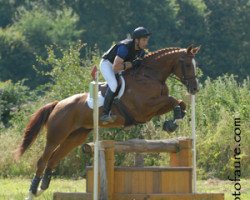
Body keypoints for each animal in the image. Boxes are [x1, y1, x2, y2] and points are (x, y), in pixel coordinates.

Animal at [14, 44, 200, 198]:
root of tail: (58, 103)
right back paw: (32, 192)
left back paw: (42, 188)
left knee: (53, 159)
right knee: (43, 160)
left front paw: (171, 123)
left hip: (76, 136)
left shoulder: (153, 108)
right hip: (56, 135)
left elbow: (179, 103)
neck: (149, 76)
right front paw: (171, 123)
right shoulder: (144, 108)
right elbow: (173, 100)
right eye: (188, 65)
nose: (195, 88)